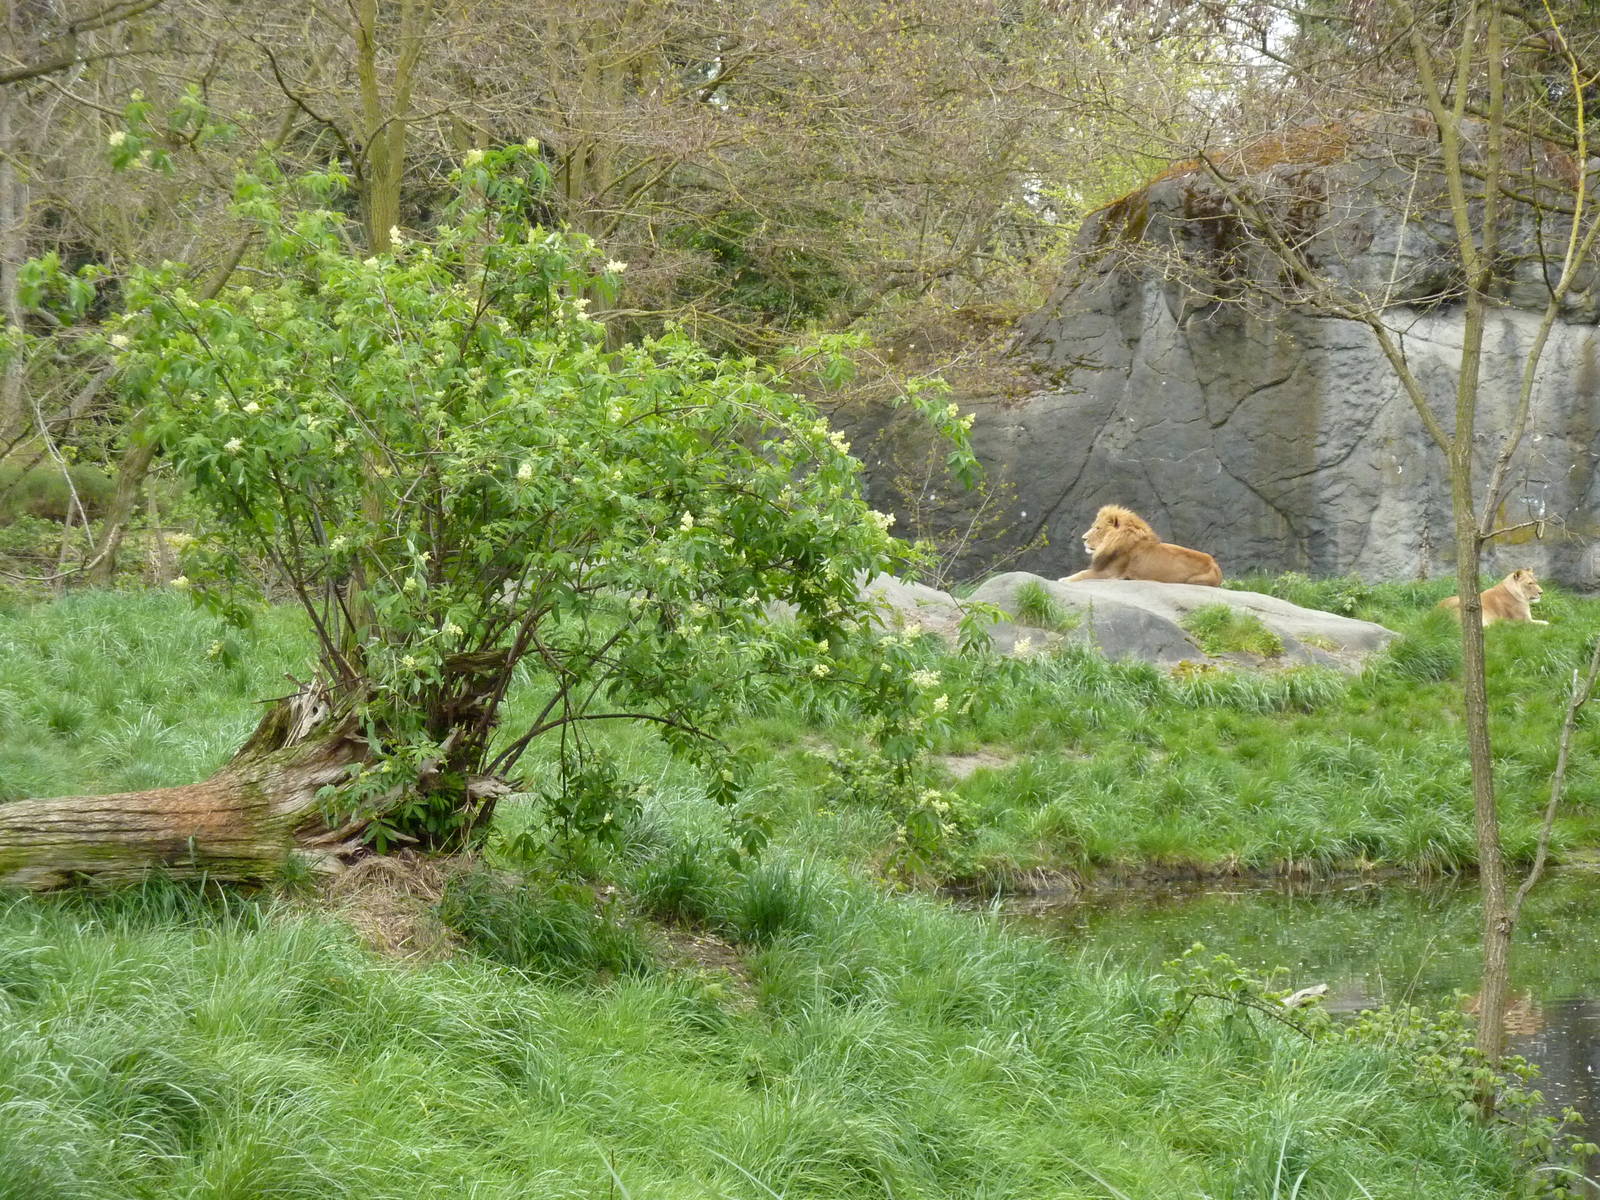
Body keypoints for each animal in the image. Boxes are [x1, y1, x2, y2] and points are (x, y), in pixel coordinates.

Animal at [1059, 505, 1223, 586]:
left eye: (1098, 528)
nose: (1083, 538)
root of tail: (1215, 565)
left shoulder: (1110, 573)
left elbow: (1083, 574)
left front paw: (1064, 580)